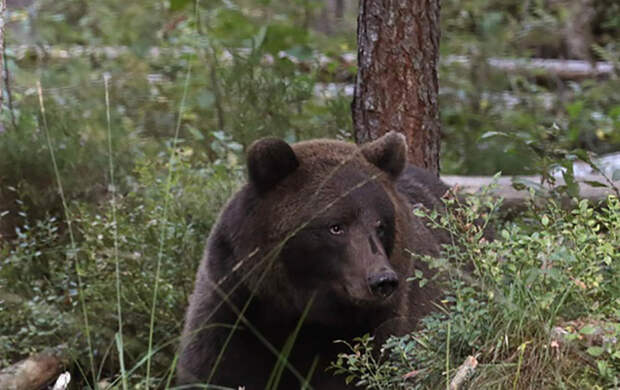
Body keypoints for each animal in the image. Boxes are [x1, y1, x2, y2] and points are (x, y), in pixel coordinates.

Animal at [177, 133, 448, 388]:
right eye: (336, 226)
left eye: (381, 225)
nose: (382, 280)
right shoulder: (235, 308)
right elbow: (216, 369)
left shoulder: (379, 325)